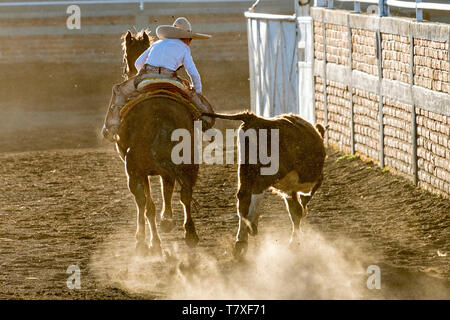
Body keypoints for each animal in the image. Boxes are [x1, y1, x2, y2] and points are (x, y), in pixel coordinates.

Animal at [103, 30, 201, 255]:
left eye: (125, 57)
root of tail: (161, 121)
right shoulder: (166, 170)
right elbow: (167, 190)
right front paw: (168, 219)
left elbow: (148, 205)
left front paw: (148, 240)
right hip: (190, 163)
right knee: (185, 194)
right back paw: (189, 233)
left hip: (134, 171)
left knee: (144, 204)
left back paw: (147, 242)